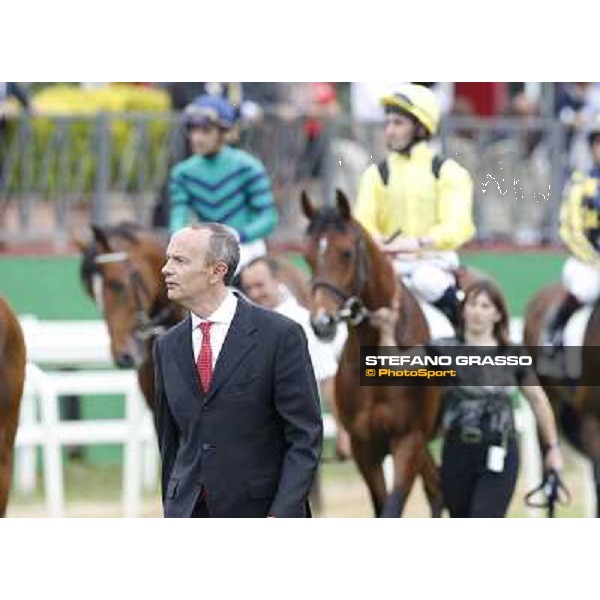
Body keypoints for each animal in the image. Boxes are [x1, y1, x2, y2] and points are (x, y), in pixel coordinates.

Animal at [300, 191, 446, 516]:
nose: (322, 323)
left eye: (346, 253)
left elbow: (392, 507)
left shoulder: (408, 440)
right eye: (307, 256)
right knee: (435, 486)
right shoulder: (364, 446)